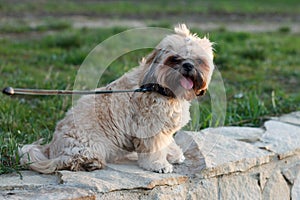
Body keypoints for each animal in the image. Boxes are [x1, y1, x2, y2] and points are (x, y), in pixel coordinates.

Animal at [19, 23, 214, 173]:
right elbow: (154, 149)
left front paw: (174, 154)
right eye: (174, 59)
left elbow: (168, 142)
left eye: (198, 60)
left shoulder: (163, 126)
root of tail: (51, 148)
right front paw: (158, 164)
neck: (161, 88)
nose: (188, 65)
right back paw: (89, 163)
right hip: (92, 144)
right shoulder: (149, 127)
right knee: (69, 160)